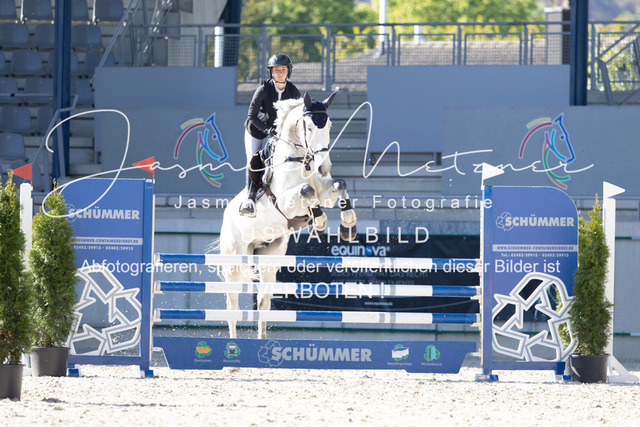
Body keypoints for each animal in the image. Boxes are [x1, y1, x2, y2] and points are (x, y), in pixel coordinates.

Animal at [217, 92, 357, 339]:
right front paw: (318, 222)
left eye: (329, 125)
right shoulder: (285, 203)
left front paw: (348, 225)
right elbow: (307, 191)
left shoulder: (325, 193)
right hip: (234, 261)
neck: (302, 160)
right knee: (232, 306)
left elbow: (339, 184)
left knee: (263, 301)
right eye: (309, 127)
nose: (323, 167)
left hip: (269, 257)